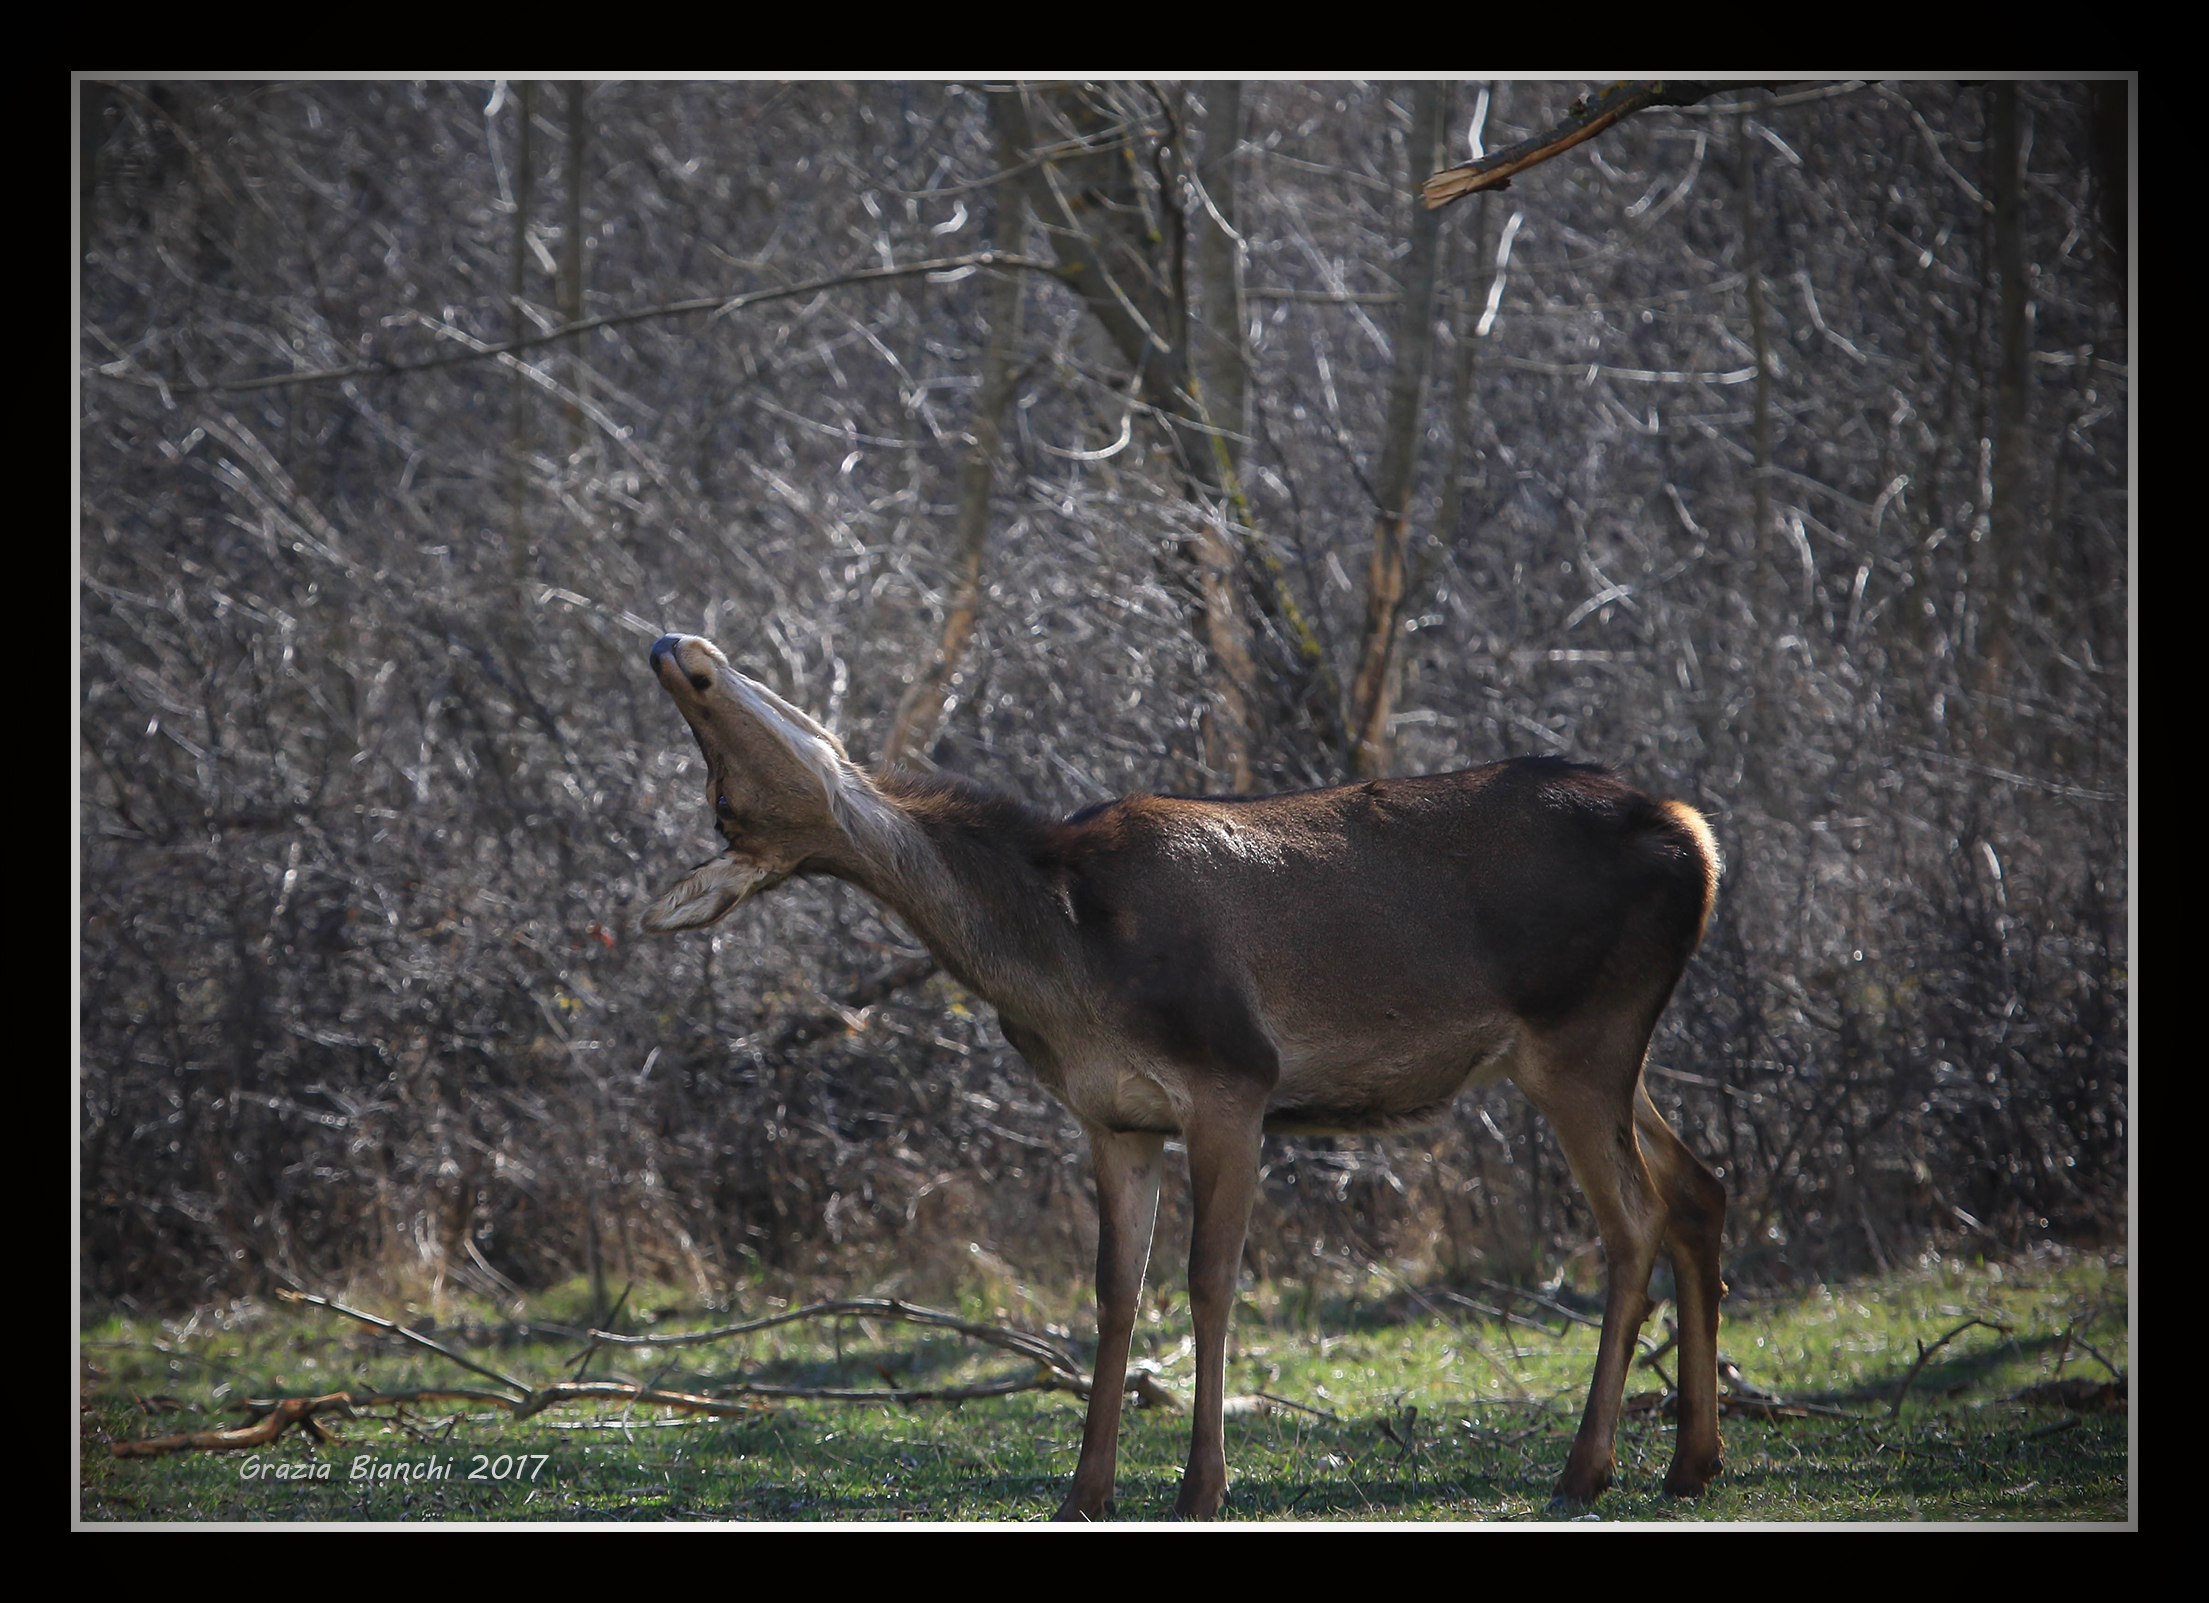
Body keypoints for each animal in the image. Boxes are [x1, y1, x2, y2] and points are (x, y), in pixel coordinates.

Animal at [640, 631, 1727, 1519]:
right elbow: (1115, 1291)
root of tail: (1698, 836)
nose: (672, 651)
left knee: (1631, 1215)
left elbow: (1209, 1278)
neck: (1067, 958)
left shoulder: (1232, 1077)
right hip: (1591, 1050)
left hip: (1579, 1035)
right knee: (1694, 1184)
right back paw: (1689, 1460)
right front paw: (1086, 1488)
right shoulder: (1114, 1118)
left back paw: (1586, 1467)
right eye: (723, 801)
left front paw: (1201, 1484)